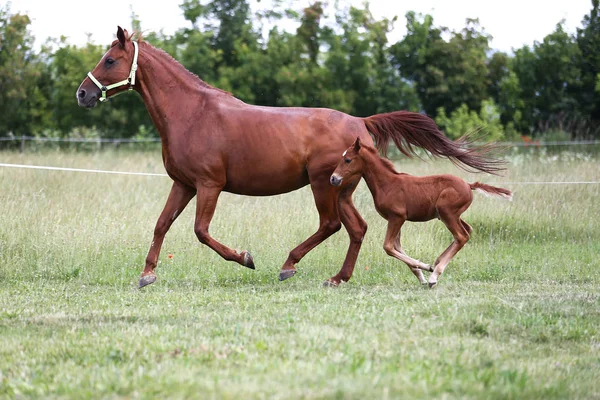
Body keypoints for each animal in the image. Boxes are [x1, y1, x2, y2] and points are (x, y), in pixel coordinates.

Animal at [330, 138, 512, 288]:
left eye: (347, 160)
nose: (333, 178)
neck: (387, 183)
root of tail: (469, 185)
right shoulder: (394, 219)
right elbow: (397, 247)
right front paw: (421, 274)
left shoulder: (397, 217)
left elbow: (388, 247)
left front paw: (426, 269)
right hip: (451, 215)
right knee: (468, 230)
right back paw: (436, 264)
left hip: (447, 213)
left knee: (461, 236)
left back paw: (435, 275)